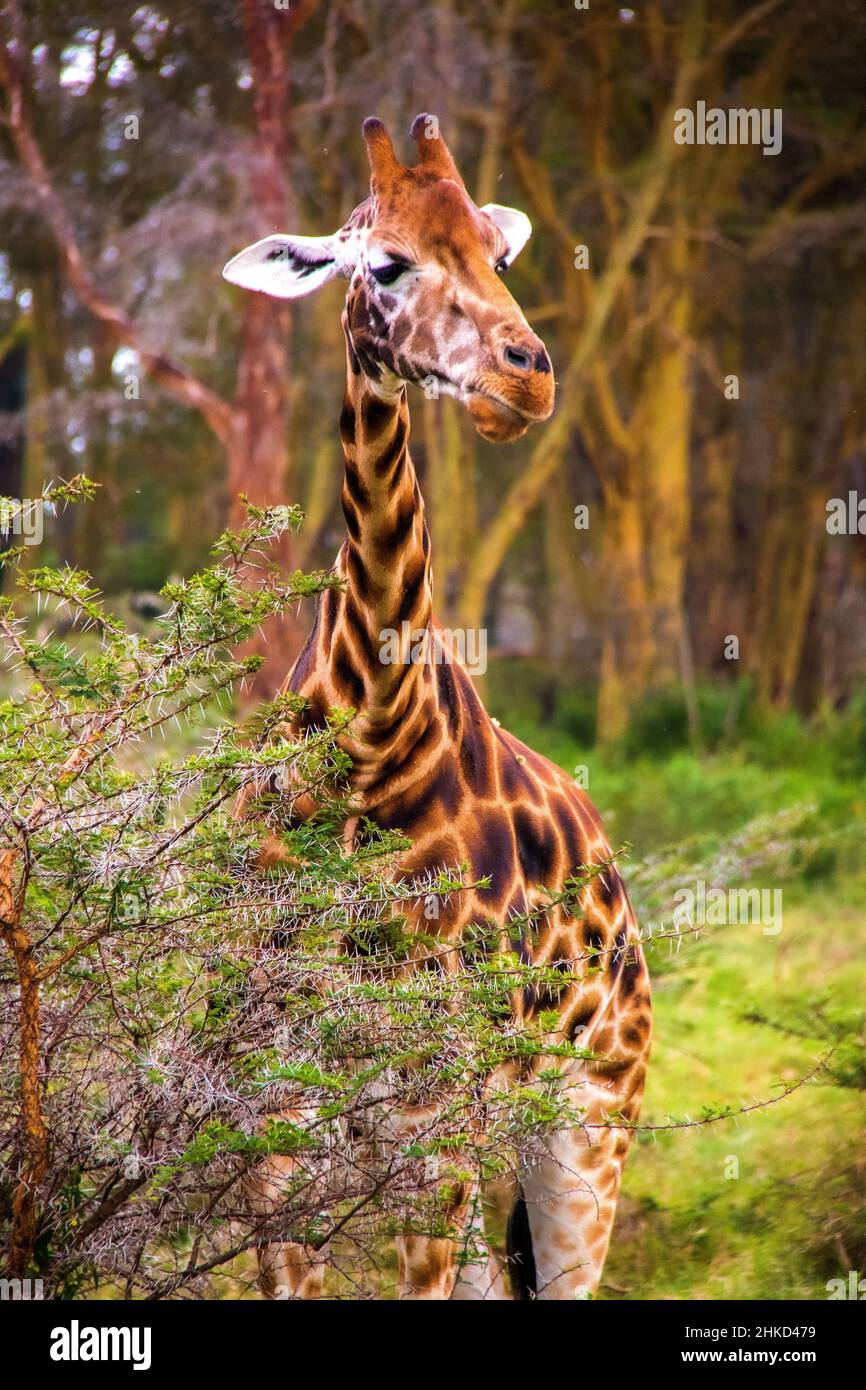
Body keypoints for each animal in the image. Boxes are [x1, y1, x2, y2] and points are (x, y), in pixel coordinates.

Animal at [223, 114, 651, 1301]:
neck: (369, 734)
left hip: (585, 1124)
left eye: (498, 256)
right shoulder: (269, 1119)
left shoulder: (430, 1118)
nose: (527, 381)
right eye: (384, 263)